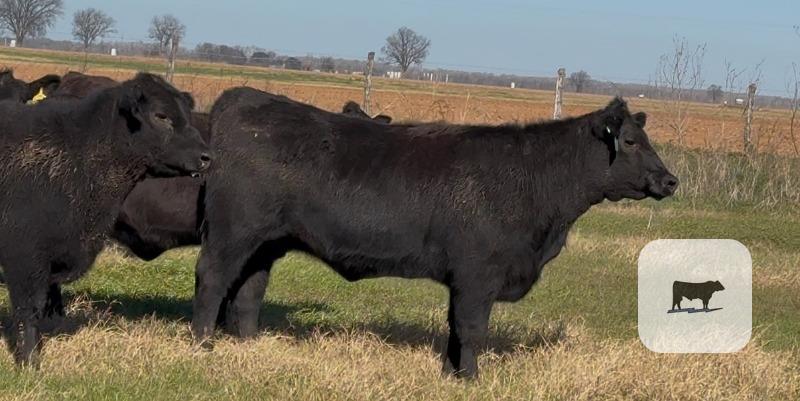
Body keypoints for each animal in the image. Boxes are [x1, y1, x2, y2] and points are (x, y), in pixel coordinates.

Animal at [0, 73, 212, 367]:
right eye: (161, 115)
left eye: (187, 115)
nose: (206, 157)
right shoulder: (24, 256)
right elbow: (28, 310)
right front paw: (29, 361)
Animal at [190, 88, 678, 379]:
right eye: (630, 141)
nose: (670, 180)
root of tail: (243, 98)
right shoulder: (479, 274)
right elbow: (472, 328)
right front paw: (472, 379)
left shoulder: (463, 278)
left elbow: (454, 328)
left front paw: (449, 373)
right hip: (233, 232)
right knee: (212, 279)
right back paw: (203, 344)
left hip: (265, 242)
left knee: (248, 291)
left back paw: (251, 346)